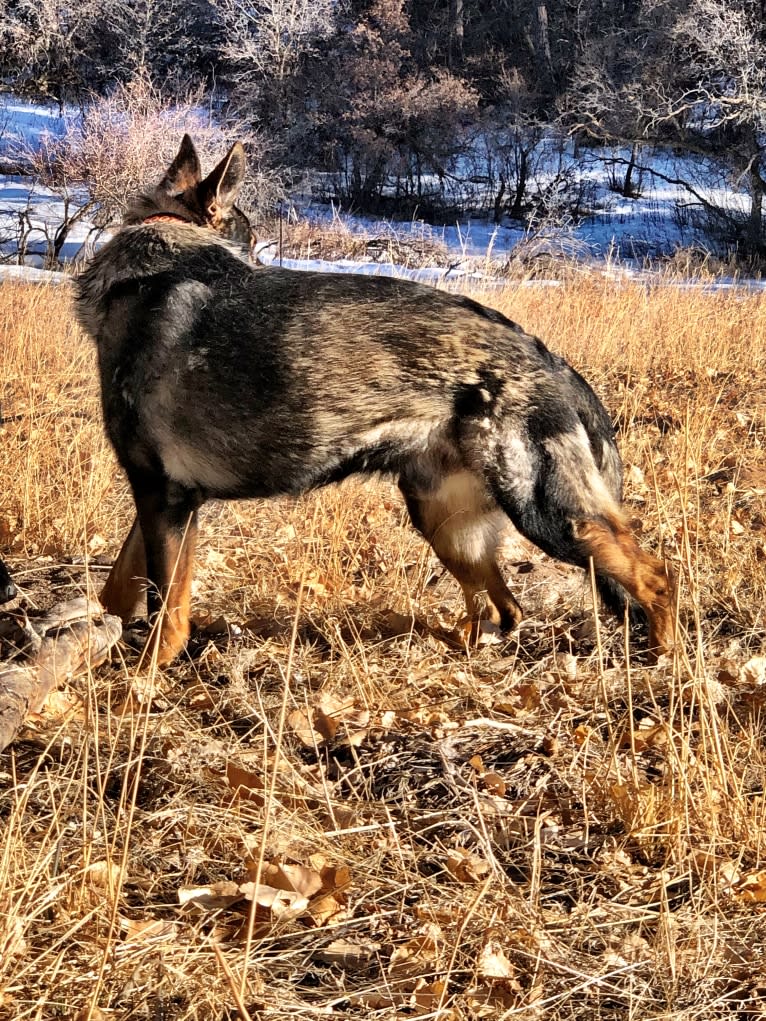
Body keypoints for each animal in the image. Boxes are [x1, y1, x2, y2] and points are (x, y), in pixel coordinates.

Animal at [78, 133, 674, 661]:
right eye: (248, 243)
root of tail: (552, 363)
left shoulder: (165, 497)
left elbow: (167, 611)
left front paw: (140, 682)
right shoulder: (160, 497)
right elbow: (118, 588)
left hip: (548, 515)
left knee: (654, 576)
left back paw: (662, 661)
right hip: (444, 522)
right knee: (504, 609)